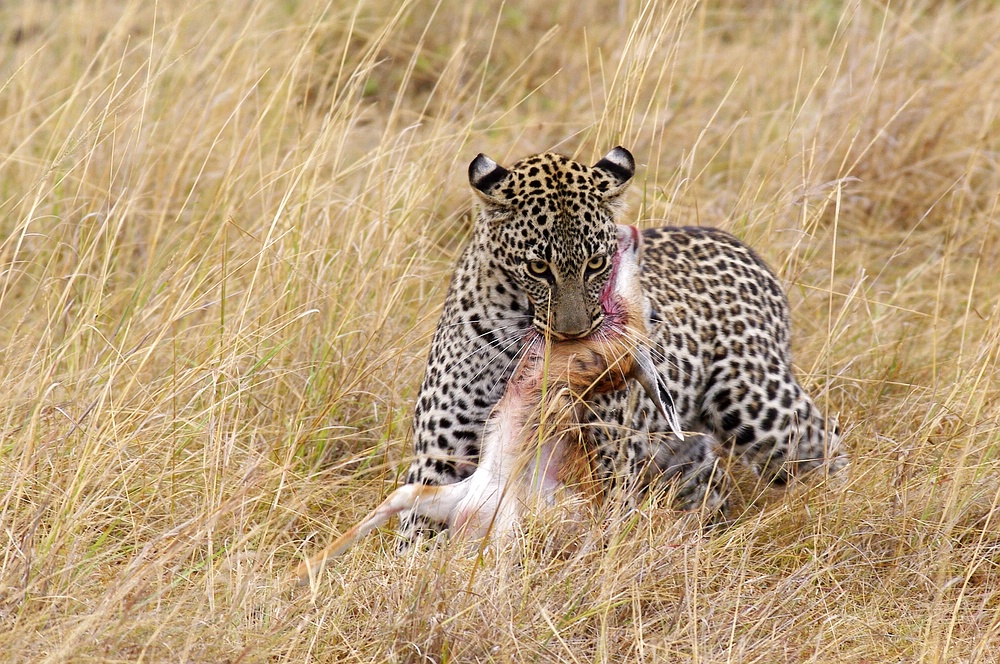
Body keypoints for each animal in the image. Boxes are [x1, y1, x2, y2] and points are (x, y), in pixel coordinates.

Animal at [398, 147, 844, 544]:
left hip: (757, 406)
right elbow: (415, 542)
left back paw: (835, 510)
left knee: (825, 443)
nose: (574, 334)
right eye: (538, 268)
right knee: (711, 483)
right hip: (683, 447)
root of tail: (738, 245)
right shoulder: (439, 459)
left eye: (596, 263)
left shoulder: (608, 461)